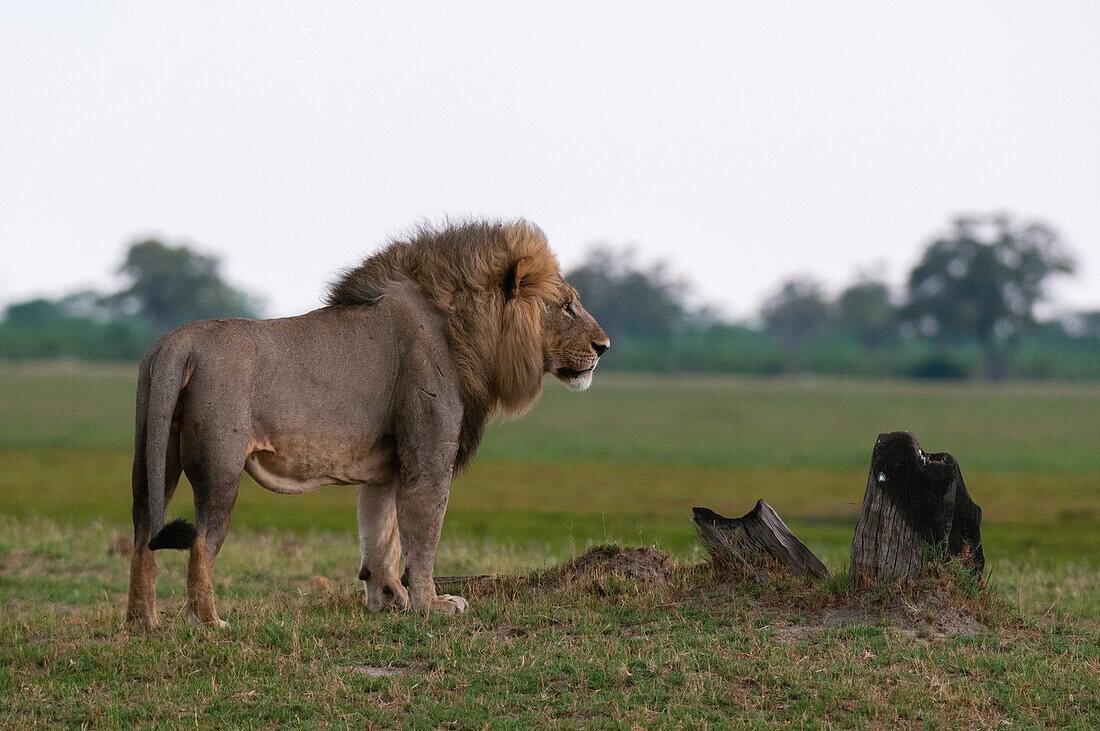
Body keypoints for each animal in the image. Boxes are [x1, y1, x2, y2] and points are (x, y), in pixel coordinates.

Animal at [129, 217, 616, 628]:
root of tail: (176, 344)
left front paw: (389, 598)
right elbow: (423, 532)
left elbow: (381, 533)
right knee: (200, 544)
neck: (467, 329)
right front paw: (431, 604)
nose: (604, 345)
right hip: (221, 467)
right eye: (566, 307)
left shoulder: (386, 464)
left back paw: (143, 624)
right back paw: (209, 623)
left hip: (152, 458)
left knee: (141, 535)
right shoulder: (428, 452)